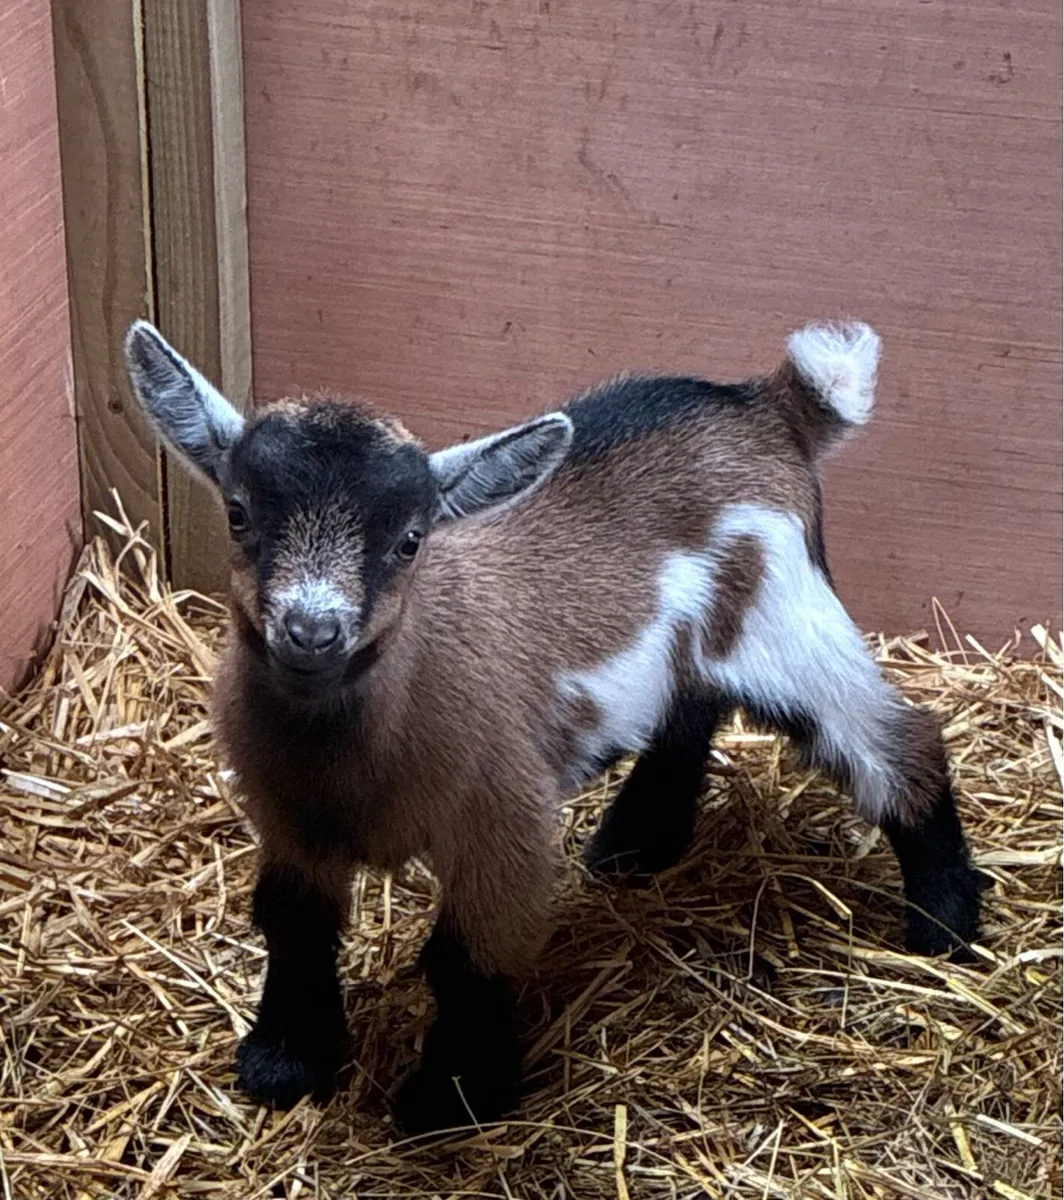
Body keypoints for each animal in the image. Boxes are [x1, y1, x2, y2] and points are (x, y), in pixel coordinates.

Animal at [123, 318, 981, 1135]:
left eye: (409, 540)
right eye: (238, 515)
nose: (311, 631)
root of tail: (765, 403)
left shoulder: (502, 821)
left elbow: (466, 958)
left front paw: (450, 1097)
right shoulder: (290, 820)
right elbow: (293, 920)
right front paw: (284, 1061)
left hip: (791, 625)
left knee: (899, 745)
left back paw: (946, 927)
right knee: (691, 709)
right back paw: (636, 842)